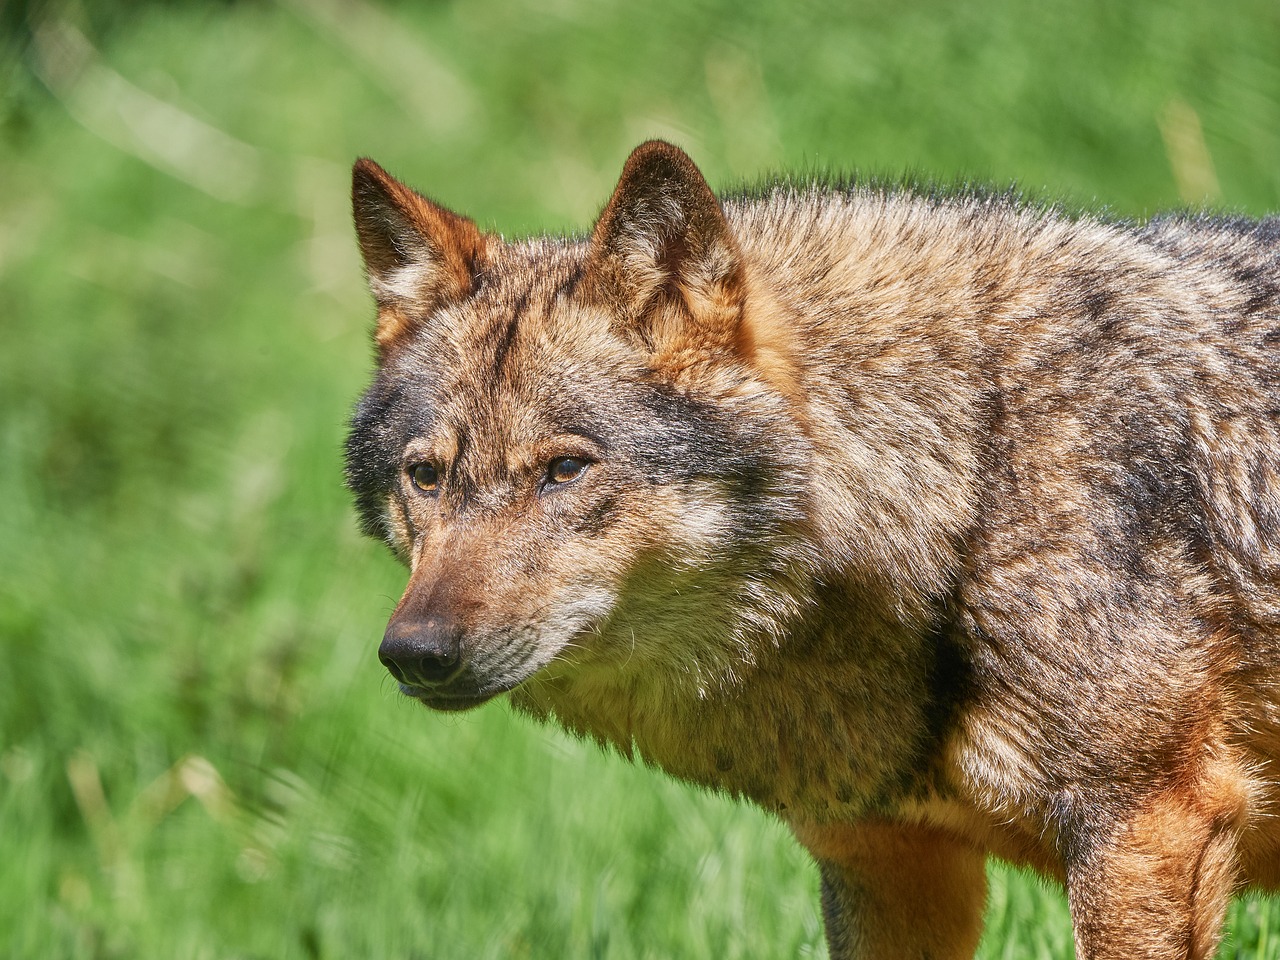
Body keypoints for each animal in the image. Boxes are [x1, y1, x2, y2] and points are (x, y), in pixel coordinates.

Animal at [343, 142, 1280, 960]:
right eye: (425, 477)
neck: (975, 479)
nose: (414, 653)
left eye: (564, 469)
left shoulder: (1145, 829)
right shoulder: (886, 858)